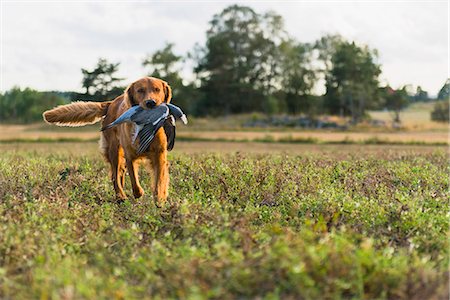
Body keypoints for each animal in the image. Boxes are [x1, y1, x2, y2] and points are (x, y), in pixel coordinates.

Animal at [43, 76, 172, 206]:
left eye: (157, 89)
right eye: (140, 90)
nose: (151, 103)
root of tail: (111, 103)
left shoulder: (159, 155)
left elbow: (160, 179)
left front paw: (160, 198)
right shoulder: (130, 155)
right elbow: (134, 181)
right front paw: (139, 193)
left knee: (120, 174)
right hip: (114, 151)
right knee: (115, 176)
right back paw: (121, 196)